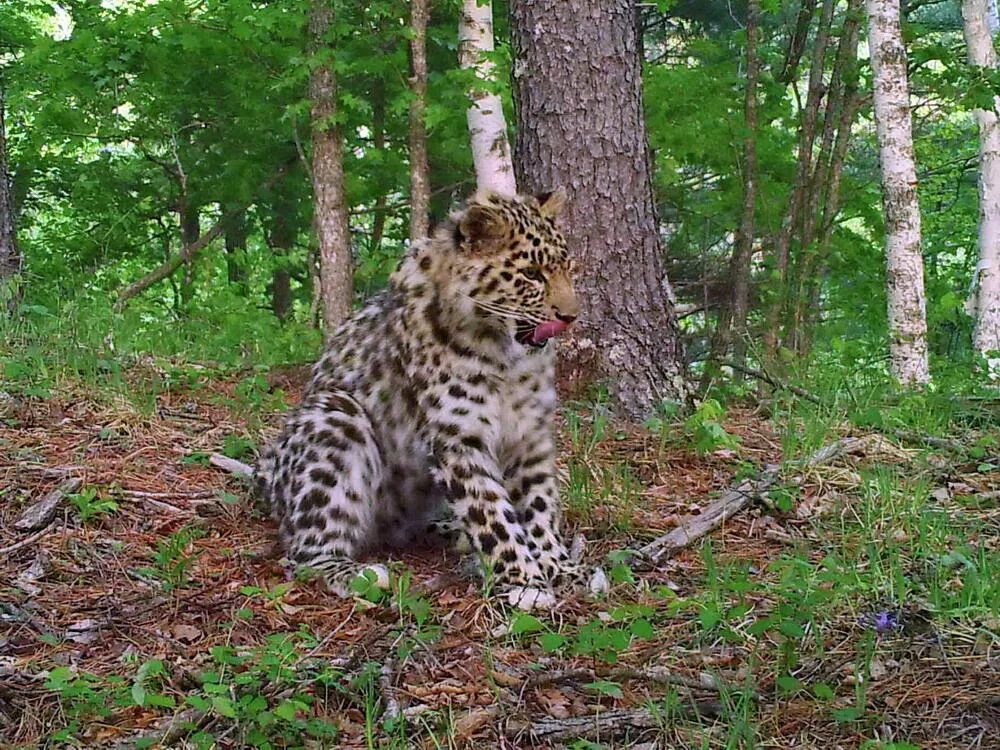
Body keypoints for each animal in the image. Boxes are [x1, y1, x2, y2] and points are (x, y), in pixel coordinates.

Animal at [254, 187, 604, 612]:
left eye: (568, 268)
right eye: (531, 275)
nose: (570, 317)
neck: (506, 356)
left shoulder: (530, 435)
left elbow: (540, 506)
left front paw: (560, 567)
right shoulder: (458, 436)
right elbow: (491, 512)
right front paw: (524, 580)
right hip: (335, 417)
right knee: (305, 552)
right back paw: (360, 574)